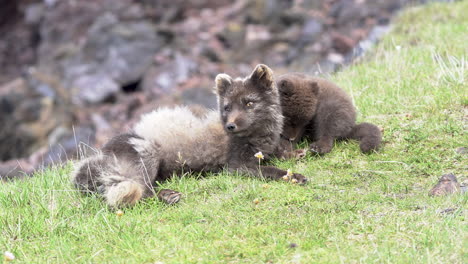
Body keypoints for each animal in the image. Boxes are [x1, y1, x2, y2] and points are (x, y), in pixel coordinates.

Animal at [72, 65, 308, 207]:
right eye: (227, 107)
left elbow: (281, 153)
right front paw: (294, 176)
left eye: (249, 103)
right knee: (142, 193)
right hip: (146, 154)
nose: (230, 126)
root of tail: (103, 155)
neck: (259, 136)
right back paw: (168, 196)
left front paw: (298, 153)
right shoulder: (237, 166)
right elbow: (271, 170)